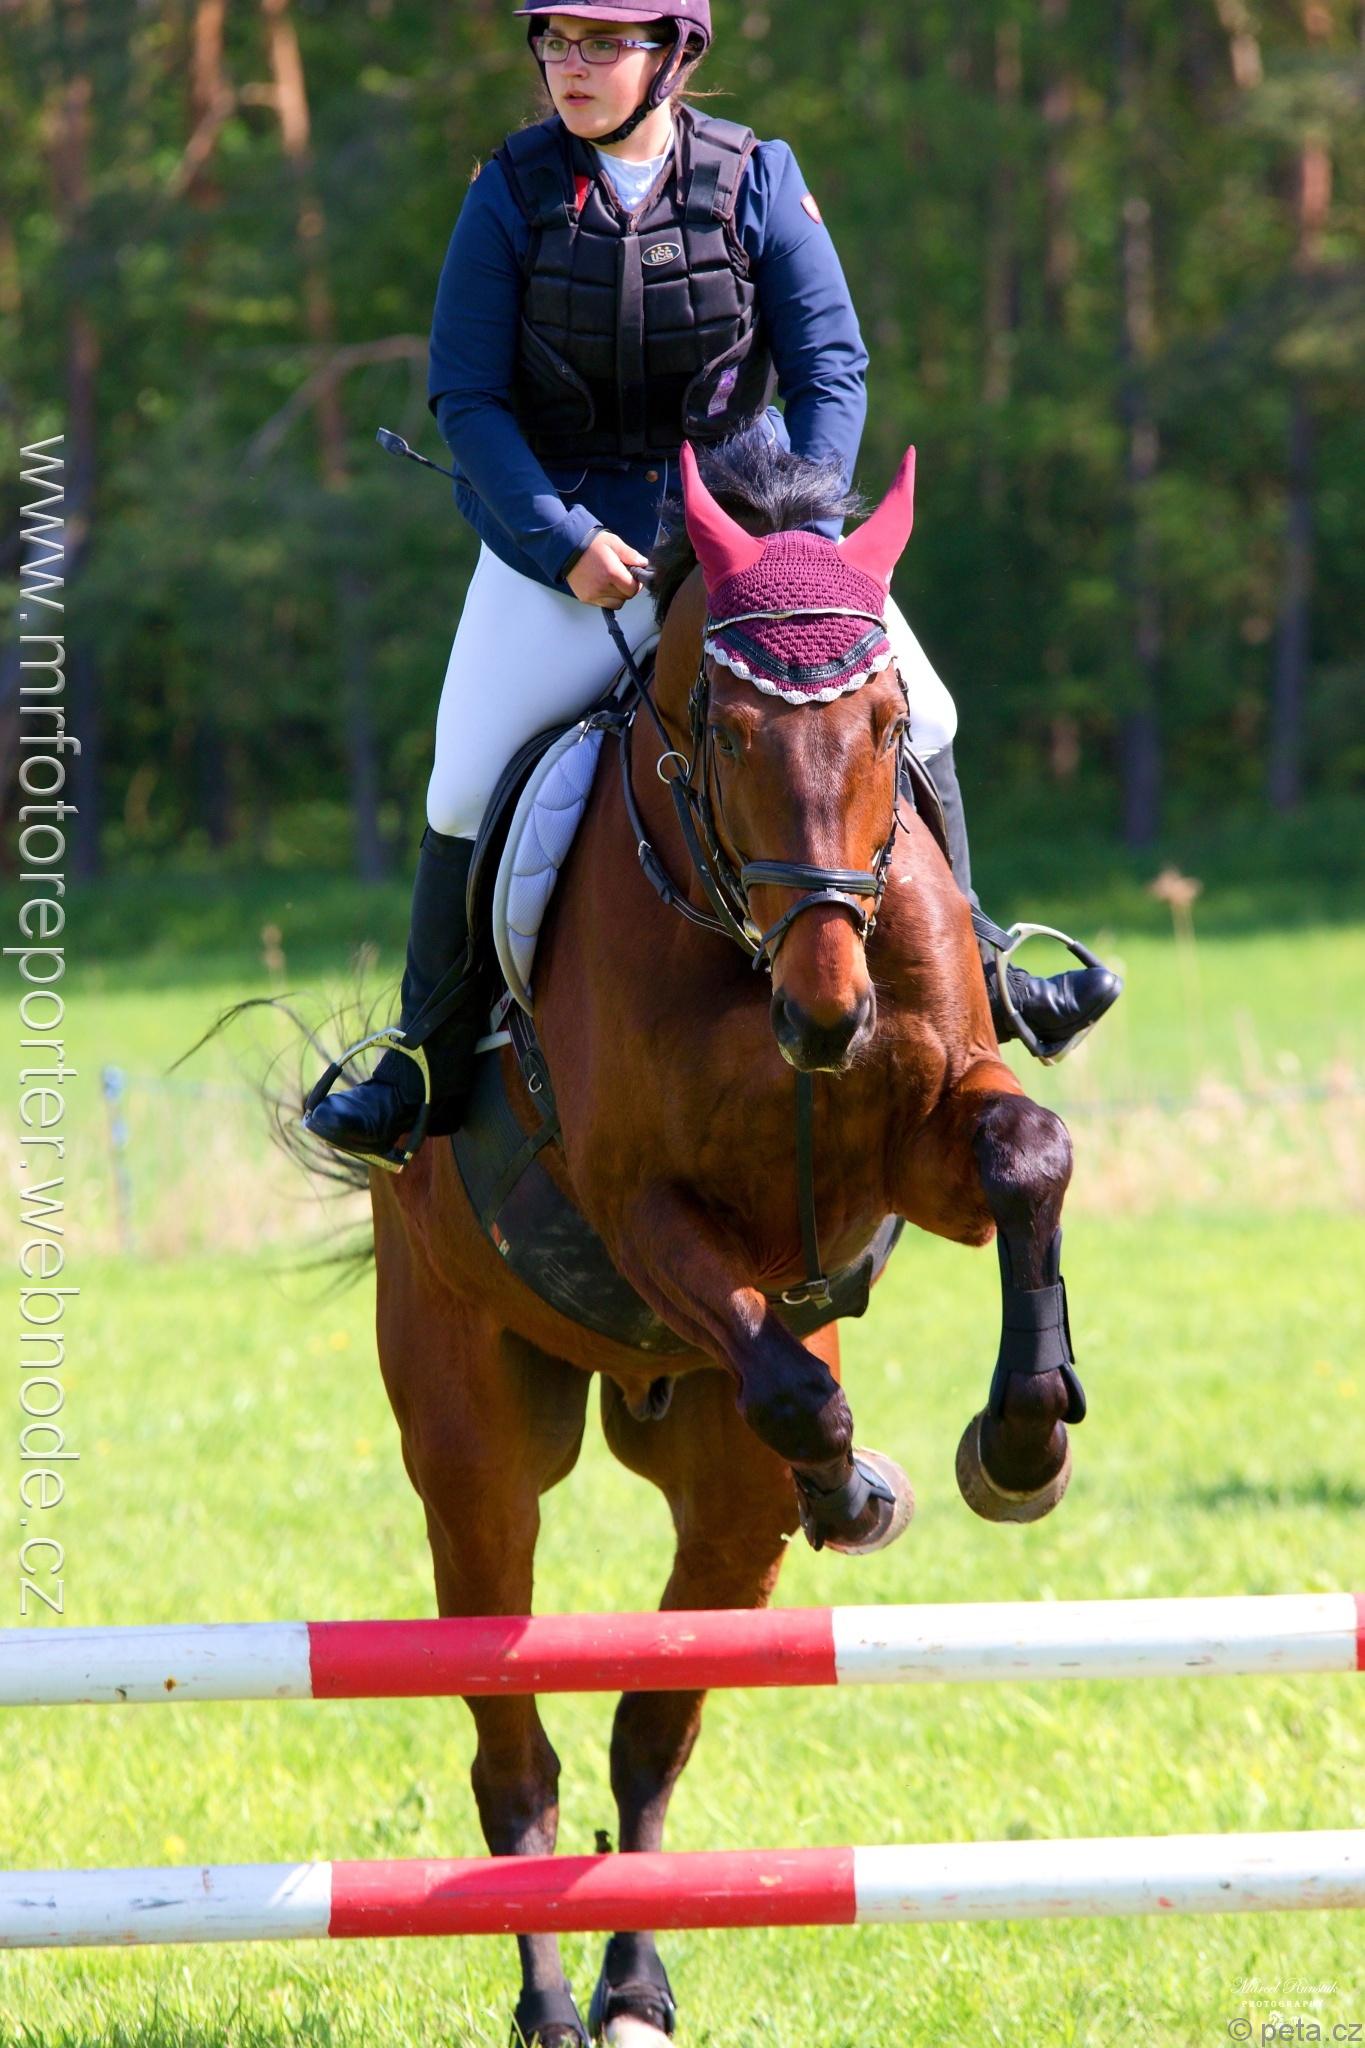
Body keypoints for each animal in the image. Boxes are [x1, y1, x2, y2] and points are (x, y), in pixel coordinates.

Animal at [359, 437, 1083, 2047]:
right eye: (727, 729)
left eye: (888, 725)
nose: (830, 1012)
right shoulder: (635, 1207)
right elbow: (795, 1385)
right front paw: (862, 1477)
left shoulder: (918, 1146)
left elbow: (1025, 1156)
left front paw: (1022, 1439)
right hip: (476, 1452)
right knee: (515, 1753)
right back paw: (556, 2002)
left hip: (710, 1499)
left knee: (653, 1727)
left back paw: (636, 1981)